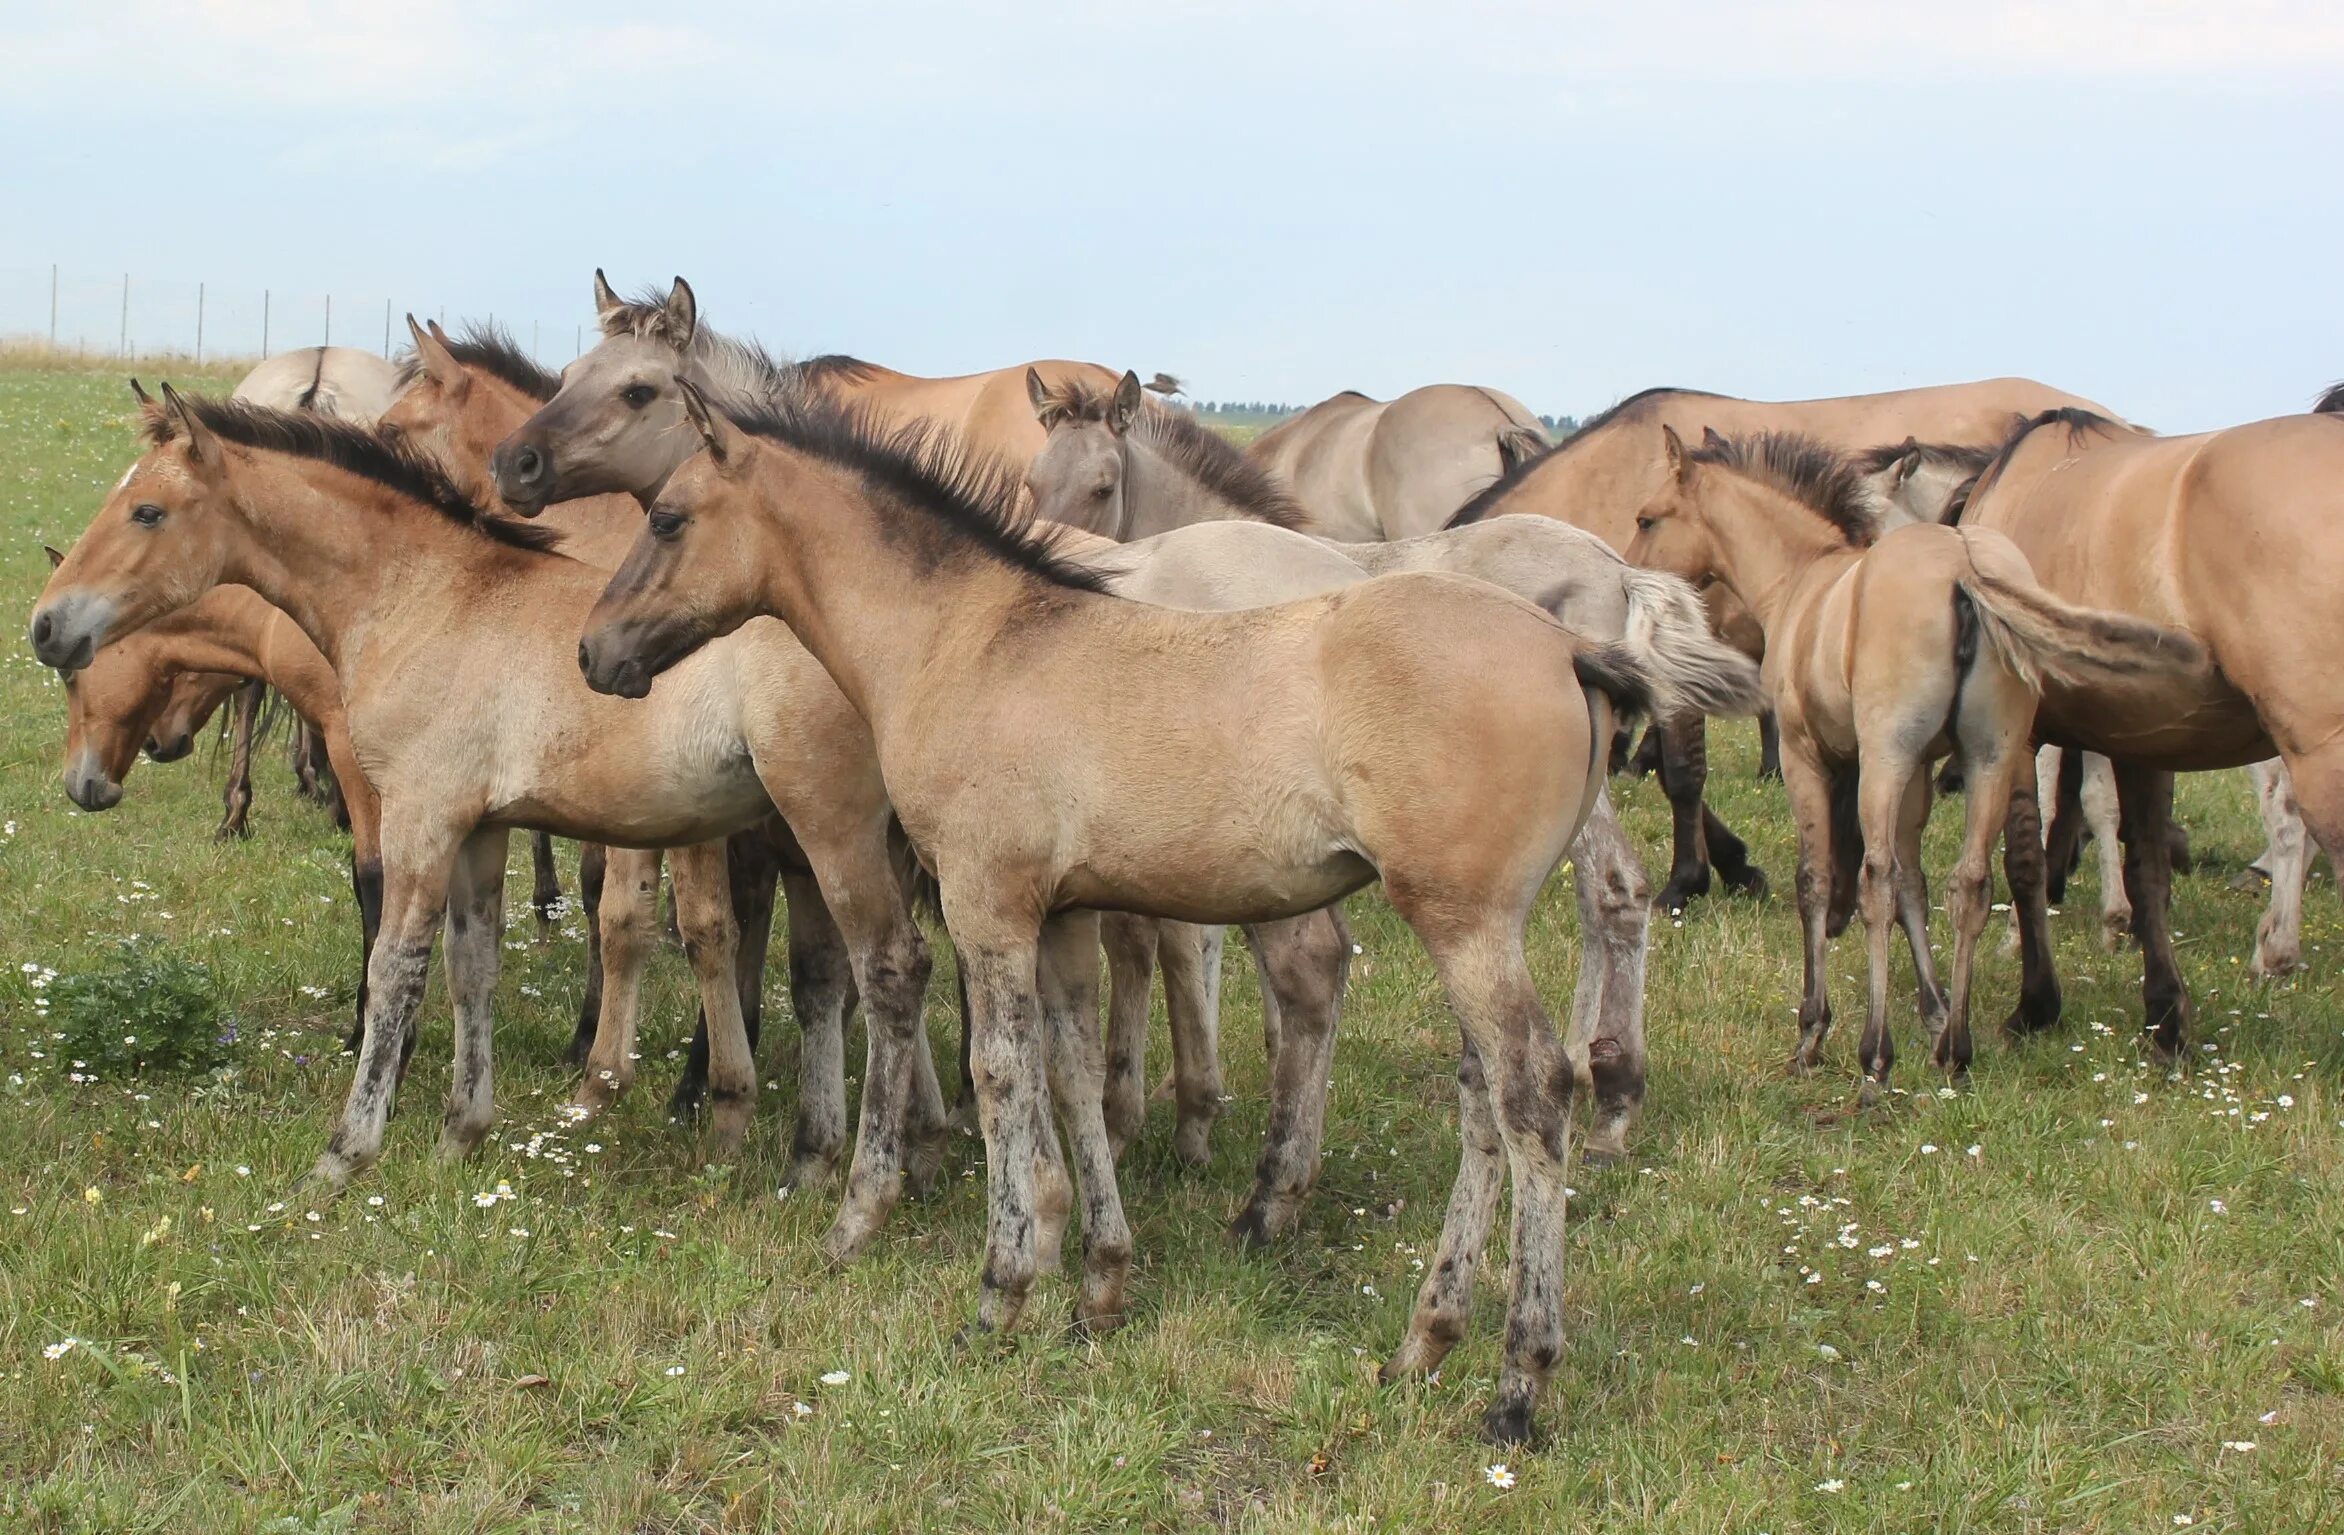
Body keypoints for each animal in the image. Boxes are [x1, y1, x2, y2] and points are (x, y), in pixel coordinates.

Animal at [27, 386, 942, 1265]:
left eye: (147, 511)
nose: (45, 626)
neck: (425, 597)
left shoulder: (418, 816)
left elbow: (397, 968)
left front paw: (345, 1153)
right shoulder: (478, 829)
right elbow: (474, 969)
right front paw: (458, 1137)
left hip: (832, 824)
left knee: (893, 968)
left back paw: (865, 1204)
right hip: (807, 841)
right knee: (827, 978)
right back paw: (822, 1160)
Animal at [1622, 426, 2203, 1096]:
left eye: (1647, 517)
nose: (1624, 581)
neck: (1804, 579)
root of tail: (1965, 572)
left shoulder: (1809, 758)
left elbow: (1823, 882)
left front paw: (1812, 1031)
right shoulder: (1926, 772)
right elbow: (1915, 886)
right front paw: (1936, 1012)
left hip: (1885, 759)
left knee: (1874, 882)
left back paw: (1874, 1054)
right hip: (1990, 758)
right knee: (1970, 884)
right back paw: (1958, 1047)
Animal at [1950, 403, 2344, 1063]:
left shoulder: (2019, 735)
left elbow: (2026, 860)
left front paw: (2035, 1007)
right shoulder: (2147, 740)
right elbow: (2148, 871)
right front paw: (2165, 1020)